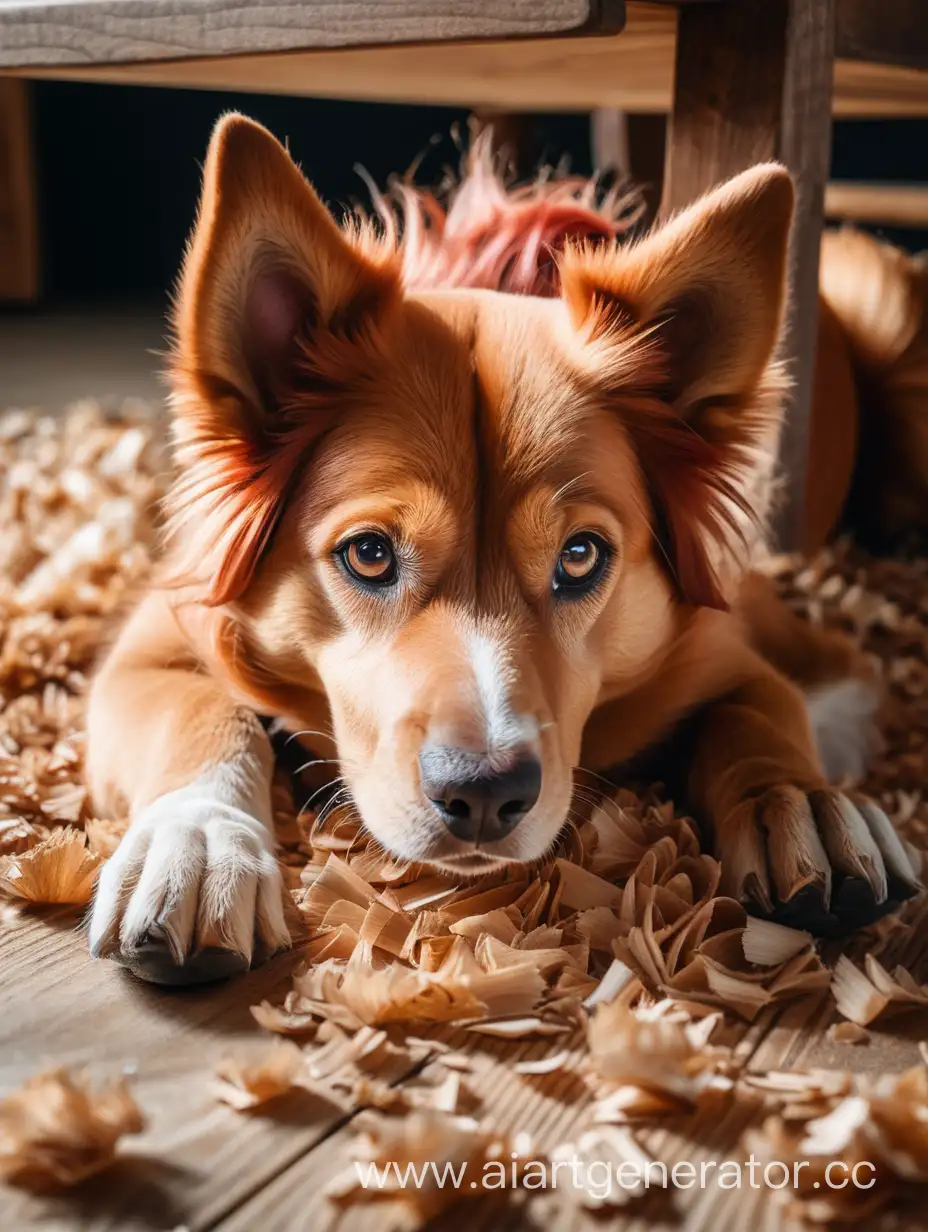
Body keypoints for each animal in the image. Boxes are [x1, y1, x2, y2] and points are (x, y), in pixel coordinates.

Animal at [83, 113, 921, 980]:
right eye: (369, 554)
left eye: (580, 557)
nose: (484, 795)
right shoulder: (159, 635)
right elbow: (206, 714)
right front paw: (200, 838)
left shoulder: (737, 642)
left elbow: (765, 709)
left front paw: (804, 802)